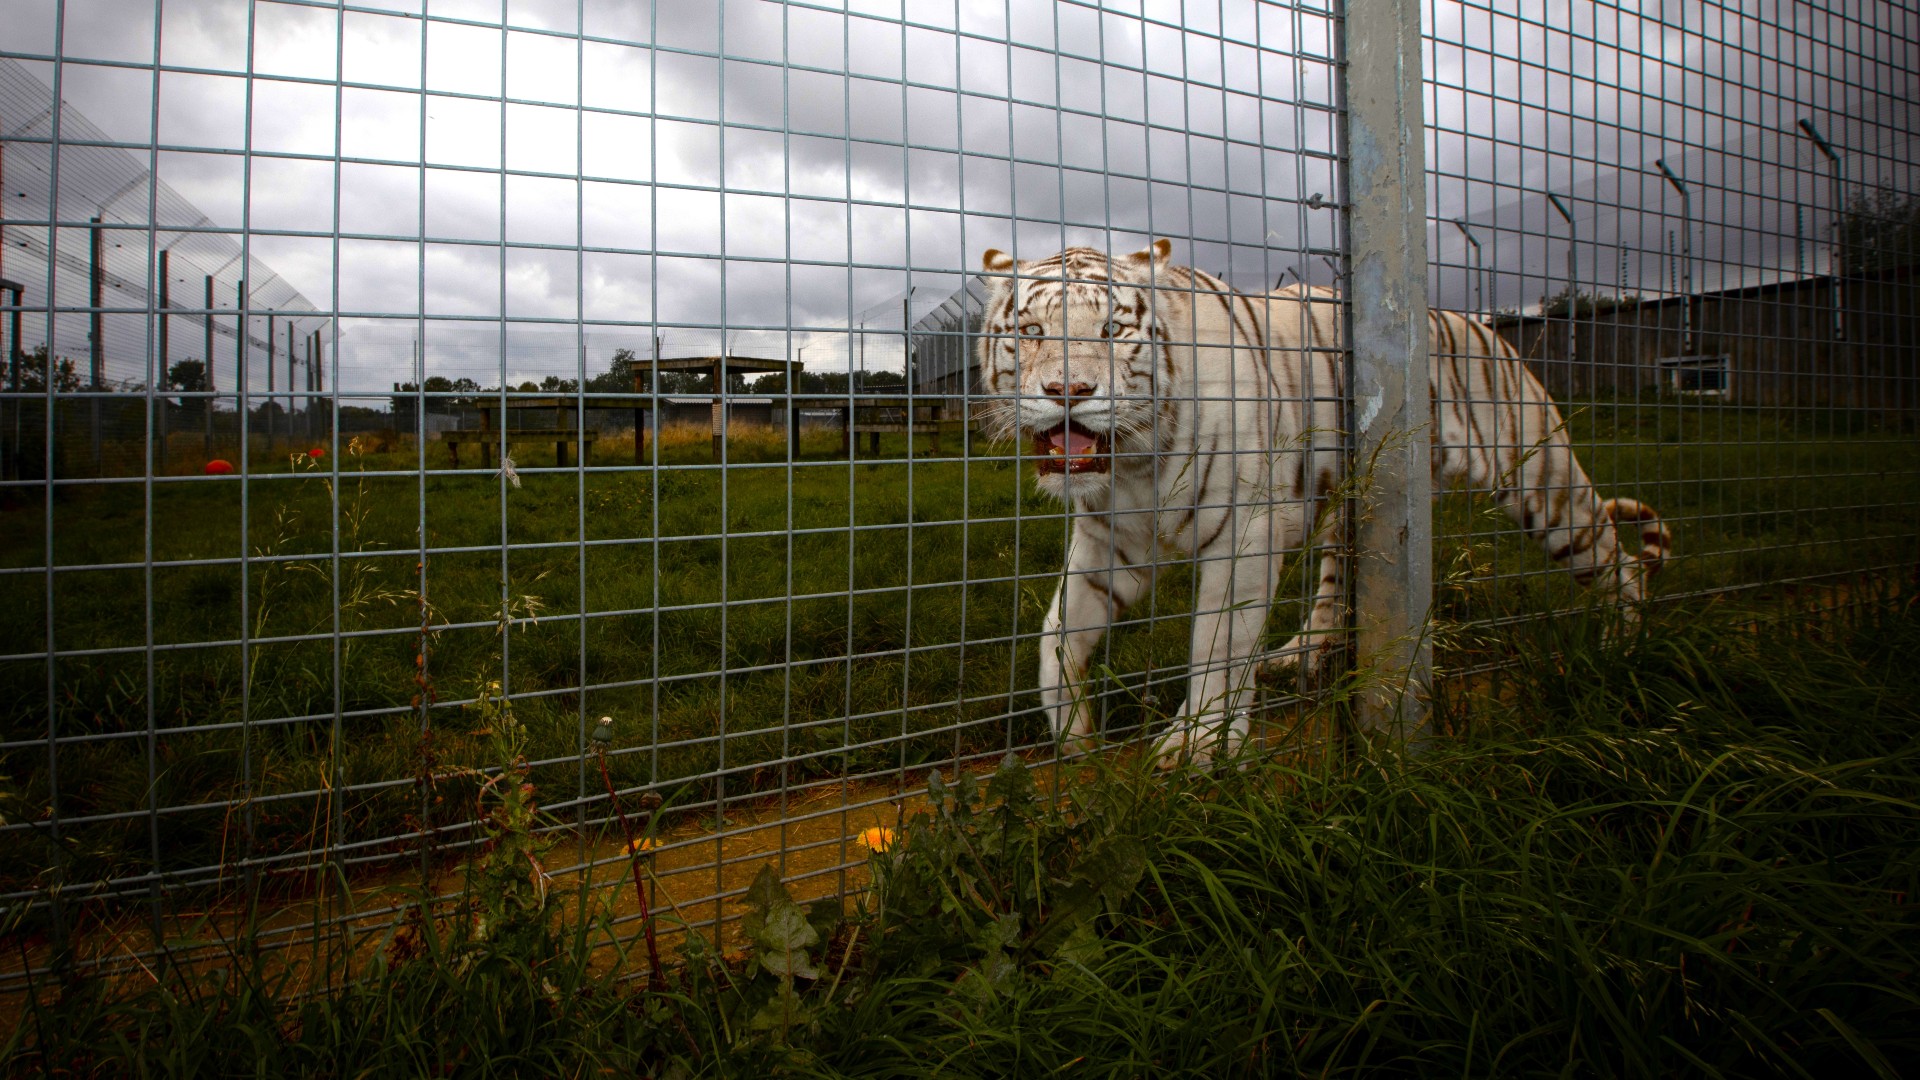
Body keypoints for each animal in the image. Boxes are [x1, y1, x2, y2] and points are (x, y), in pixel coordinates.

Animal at [975, 239, 1666, 760]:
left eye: (1114, 331)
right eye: (1030, 332)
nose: (1069, 391)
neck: (1133, 463)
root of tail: (1481, 325)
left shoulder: (1243, 535)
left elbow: (1218, 646)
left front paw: (1196, 747)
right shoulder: (1109, 542)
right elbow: (1058, 633)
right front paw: (1072, 734)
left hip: (1544, 486)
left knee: (1620, 561)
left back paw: (1621, 650)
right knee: (1336, 588)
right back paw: (1297, 655)